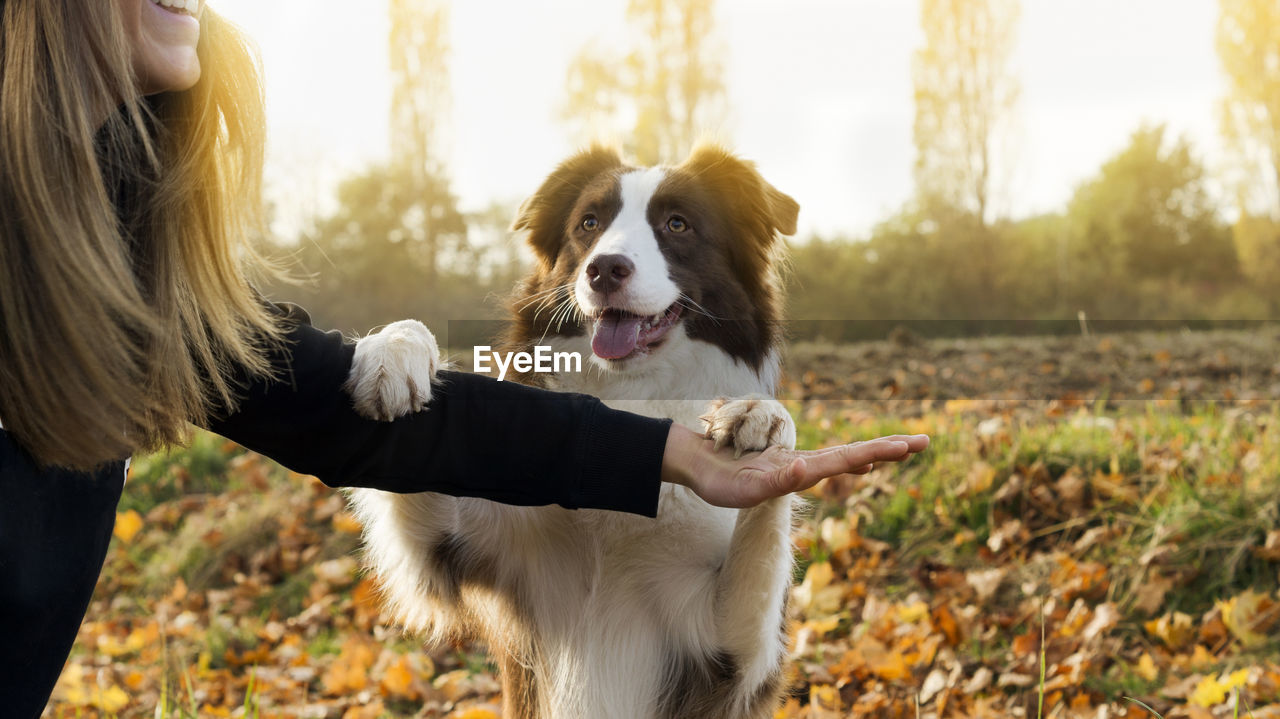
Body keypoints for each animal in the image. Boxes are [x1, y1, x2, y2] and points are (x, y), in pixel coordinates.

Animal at [340, 145, 798, 716]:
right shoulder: (462, 552)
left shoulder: (727, 654)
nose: (604, 269)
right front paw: (392, 352)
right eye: (590, 223)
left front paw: (765, 420)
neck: (629, 394)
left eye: (678, 224)